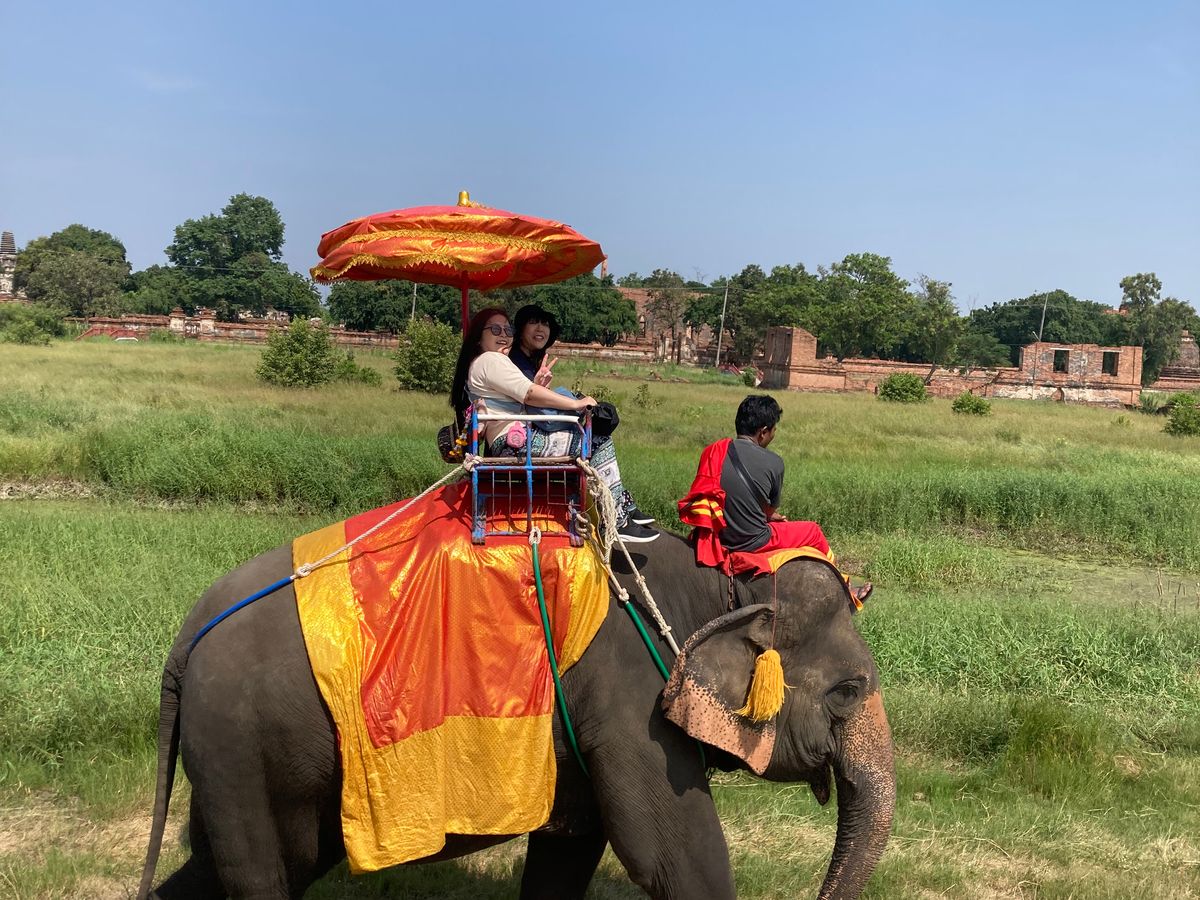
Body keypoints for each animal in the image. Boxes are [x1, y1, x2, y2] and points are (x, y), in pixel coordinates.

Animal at [137, 528, 894, 899]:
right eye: (849, 690)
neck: (717, 583)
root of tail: (185, 641)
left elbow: (571, 849)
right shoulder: (631, 701)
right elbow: (670, 857)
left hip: (245, 758)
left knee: (225, 867)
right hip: (244, 747)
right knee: (262, 876)